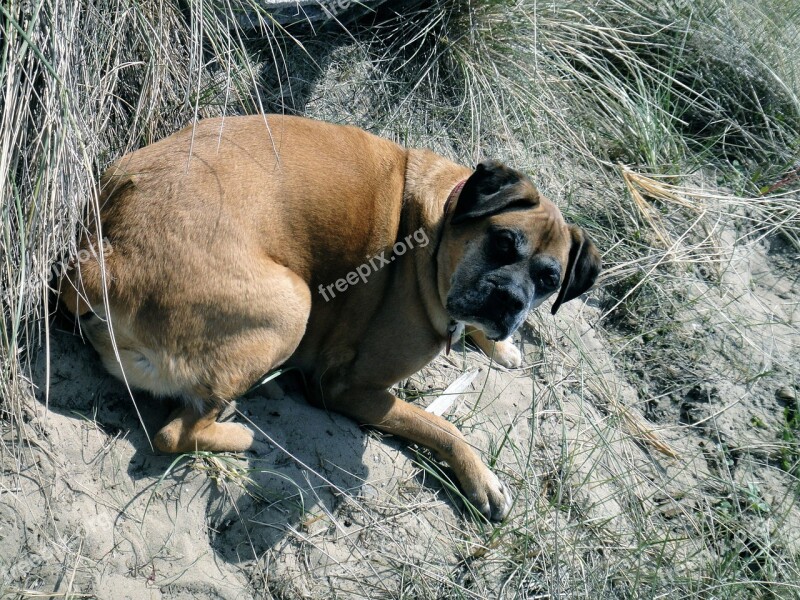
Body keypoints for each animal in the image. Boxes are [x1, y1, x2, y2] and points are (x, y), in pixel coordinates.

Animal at [57, 116, 600, 520]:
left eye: (548, 281)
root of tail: (105, 259)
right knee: (174, 433)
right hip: (293, 305)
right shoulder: (348, 388)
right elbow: (440, 425)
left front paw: (500, 344)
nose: (510, 300)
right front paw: (481, 478)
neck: (440, 224)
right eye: (503, 242)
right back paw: (243, 431)